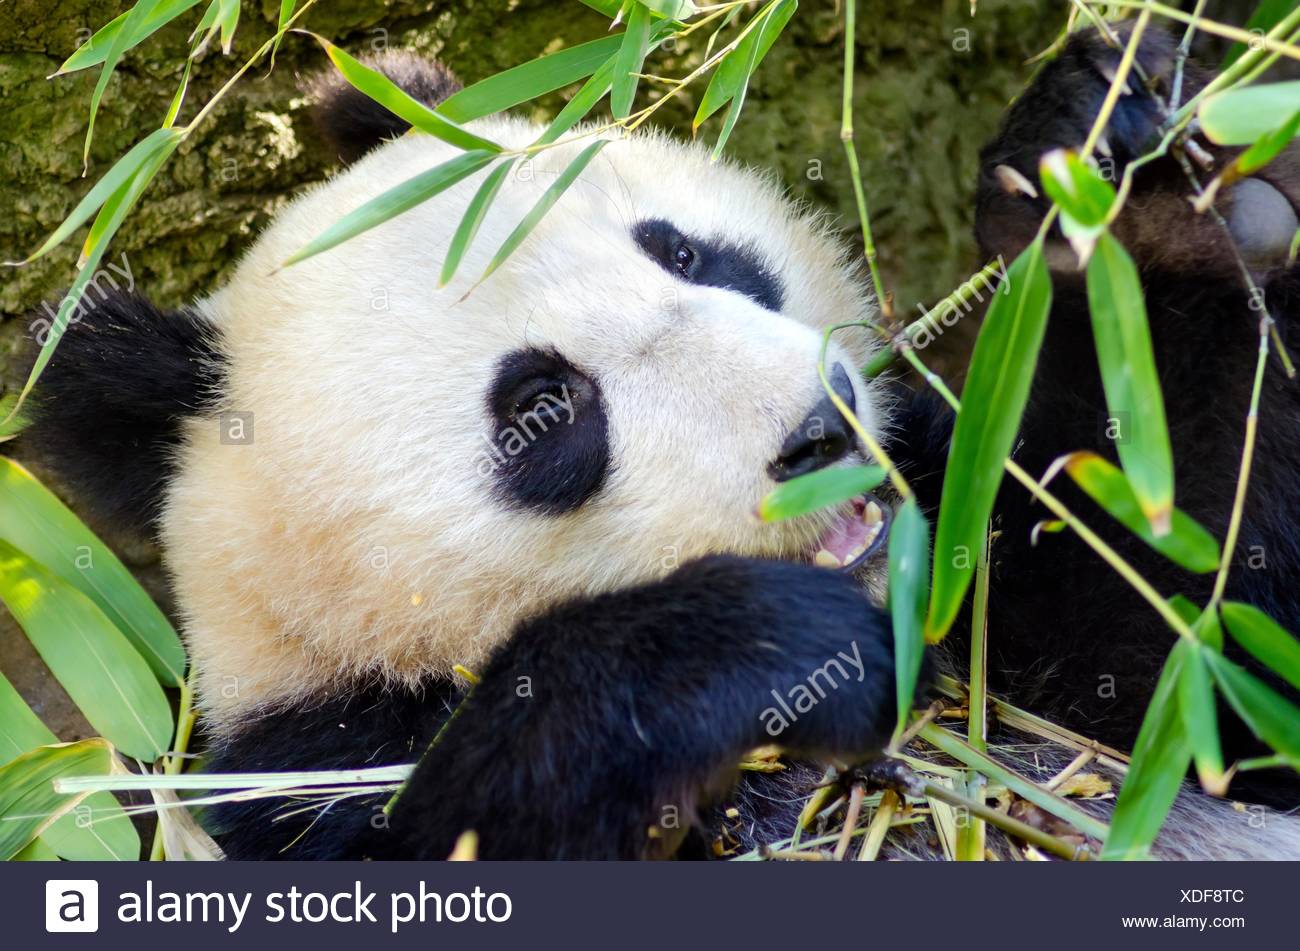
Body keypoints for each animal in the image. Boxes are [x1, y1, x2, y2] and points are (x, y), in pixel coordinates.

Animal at [20, 26, 1300, 860]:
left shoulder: (979, 563)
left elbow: (1193, 645)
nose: (819, 426)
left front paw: (1117, 177)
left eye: (683, 251)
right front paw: (762, 644)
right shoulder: (304, 766)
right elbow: (461, 822)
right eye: (545, 412)